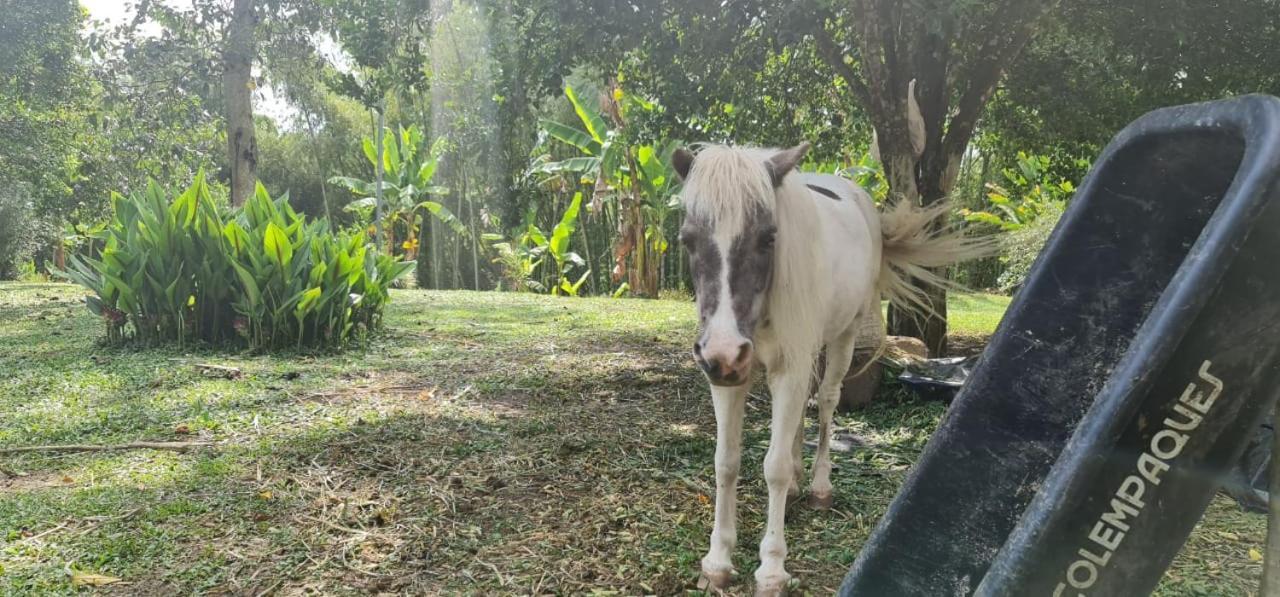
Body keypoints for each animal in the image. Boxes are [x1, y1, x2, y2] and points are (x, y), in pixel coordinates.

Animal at [670, 142, 988, 594]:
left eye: (769, 237)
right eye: (688, 239)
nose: (725, 353)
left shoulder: (785, 366)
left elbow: (773, 467)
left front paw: (772, 568)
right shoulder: (729, 378)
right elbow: (726, 463)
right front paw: (717, 561)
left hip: (843, 338)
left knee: (824, 403)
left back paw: (820, 486)